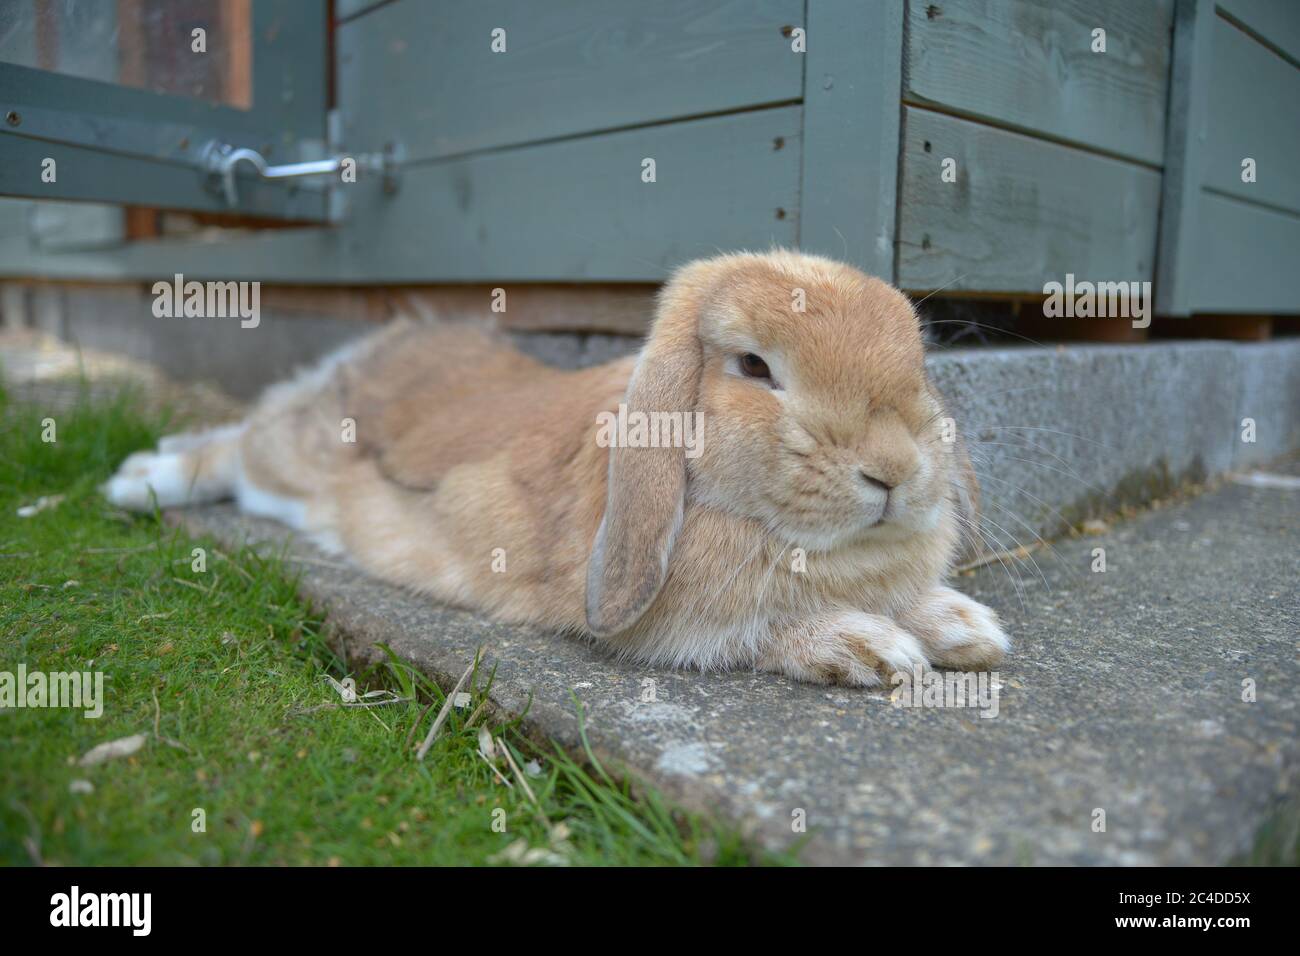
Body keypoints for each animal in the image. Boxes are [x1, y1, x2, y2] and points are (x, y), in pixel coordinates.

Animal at [106, 251, 1008, 686]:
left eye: (918, 361)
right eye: (755, 367)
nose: (893, 471)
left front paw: (965, 628)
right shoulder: (672, 625)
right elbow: (758, 630)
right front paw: (875, 649)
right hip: (291, 455)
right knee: (232, 449)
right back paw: (137, 481)